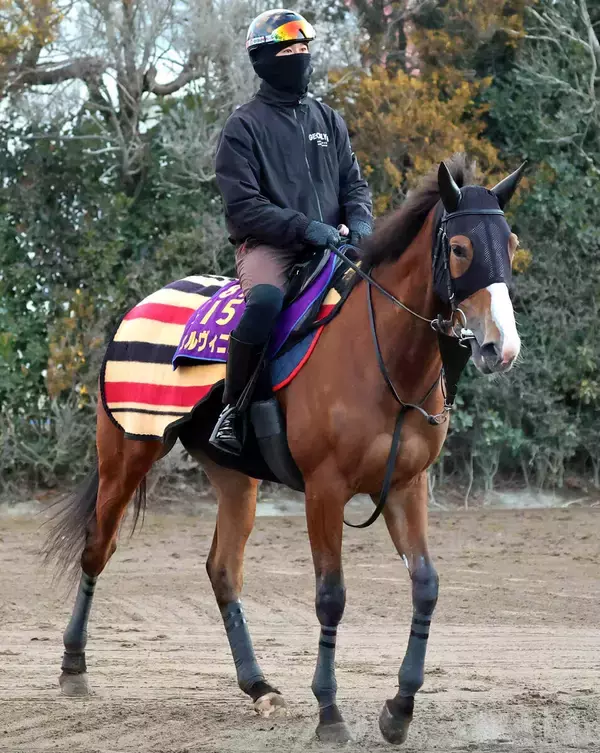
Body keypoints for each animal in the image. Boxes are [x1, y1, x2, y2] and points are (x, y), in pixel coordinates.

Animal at [45, 154, 525, 745]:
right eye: (459, 248)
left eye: (510, 242)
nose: (501, 347)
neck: (380, 356)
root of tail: (145, 304)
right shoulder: (324, 489)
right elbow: (331, 596)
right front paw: (331, 713)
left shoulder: (406, 487)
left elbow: (426, 586)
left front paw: (399, 709)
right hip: (127, 453)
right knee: (97, 546)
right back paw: (73, 667)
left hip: (235, 480)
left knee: (223, 570)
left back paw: (258, 685)